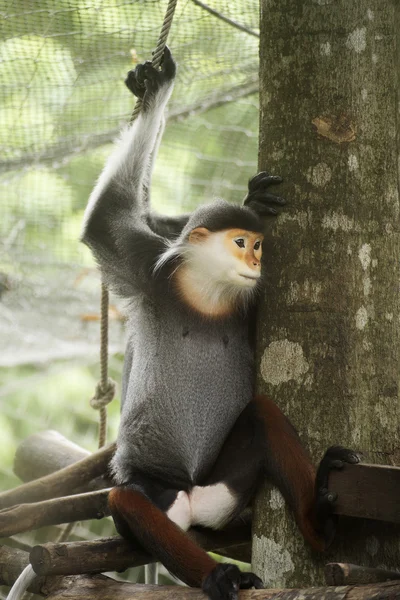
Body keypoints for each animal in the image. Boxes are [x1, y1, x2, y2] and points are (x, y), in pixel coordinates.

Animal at [81, 49, 360, 600]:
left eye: (259, 248)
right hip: (160, 494)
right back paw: (218, 575)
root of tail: (191, 502)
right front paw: (156, 86)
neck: (208, 295)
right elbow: (104, 219)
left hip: (224, 487)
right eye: (241, 244)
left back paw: (319, 523)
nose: (254, 261)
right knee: (128, 500)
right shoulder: (144, 269)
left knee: (264, 413)